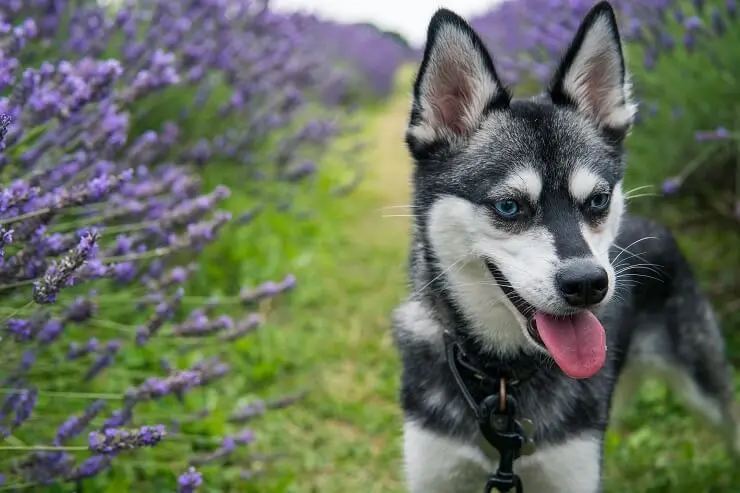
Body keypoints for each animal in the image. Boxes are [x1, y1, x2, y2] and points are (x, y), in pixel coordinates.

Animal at [394, 1, 740, 490]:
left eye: (597, 200)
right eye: (508, 206)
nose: (587, 285)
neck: (503, 380)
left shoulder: (571, 470)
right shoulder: (436, 472)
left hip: (705, 380)